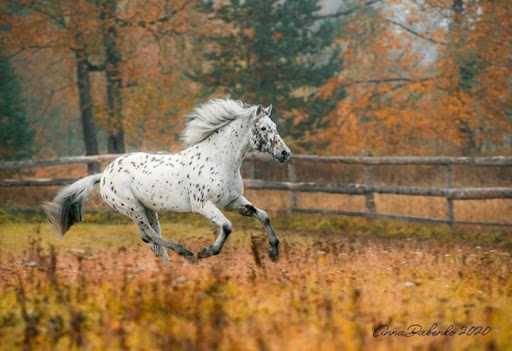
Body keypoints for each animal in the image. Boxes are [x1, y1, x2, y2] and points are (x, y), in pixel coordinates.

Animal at [43, 97, 292, 262]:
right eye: (263, 128)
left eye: (275, 127)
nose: (285, 153)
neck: (220, 160)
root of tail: (103, 175)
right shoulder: (203, 205)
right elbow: (227, 226)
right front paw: (207, 252)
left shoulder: (234, 201)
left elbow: (264, 215)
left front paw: (273, 251)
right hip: (133, 209)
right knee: (149, 234)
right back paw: (187, 254)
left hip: (148, 209)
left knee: (151, 238)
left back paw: (168, 264)